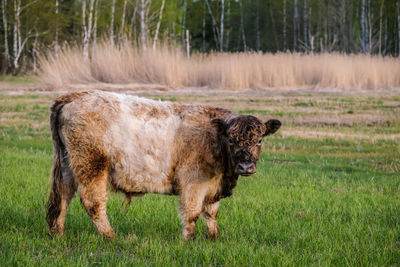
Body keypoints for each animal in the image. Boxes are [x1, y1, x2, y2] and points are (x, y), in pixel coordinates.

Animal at [45, 91, 280, 242]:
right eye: (231, 140)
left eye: (259, 140)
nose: (246, 166)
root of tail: (75, 96)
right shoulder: (194, 182)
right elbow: (192, 212)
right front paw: (189, 240)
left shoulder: (212, 186)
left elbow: (211, 212)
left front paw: (214, 237)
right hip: (91, 165)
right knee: (93, 203)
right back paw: (110, 236)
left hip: (67, 166)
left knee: (63, 197)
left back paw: (58, 233)